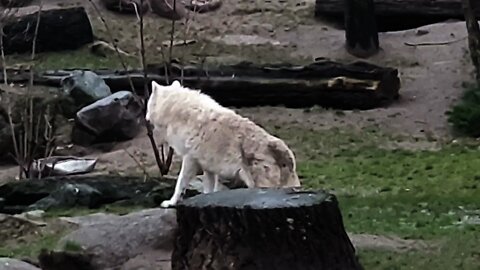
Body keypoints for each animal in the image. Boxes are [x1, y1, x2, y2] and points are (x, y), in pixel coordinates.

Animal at [144, 80, 300, 207]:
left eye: (148, 104)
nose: (145, 118)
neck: (176, 109)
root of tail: (283, 149)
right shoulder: (208, 167)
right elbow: (208, 190)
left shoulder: (190, 159)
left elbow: (180, 183)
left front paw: (170, 203)